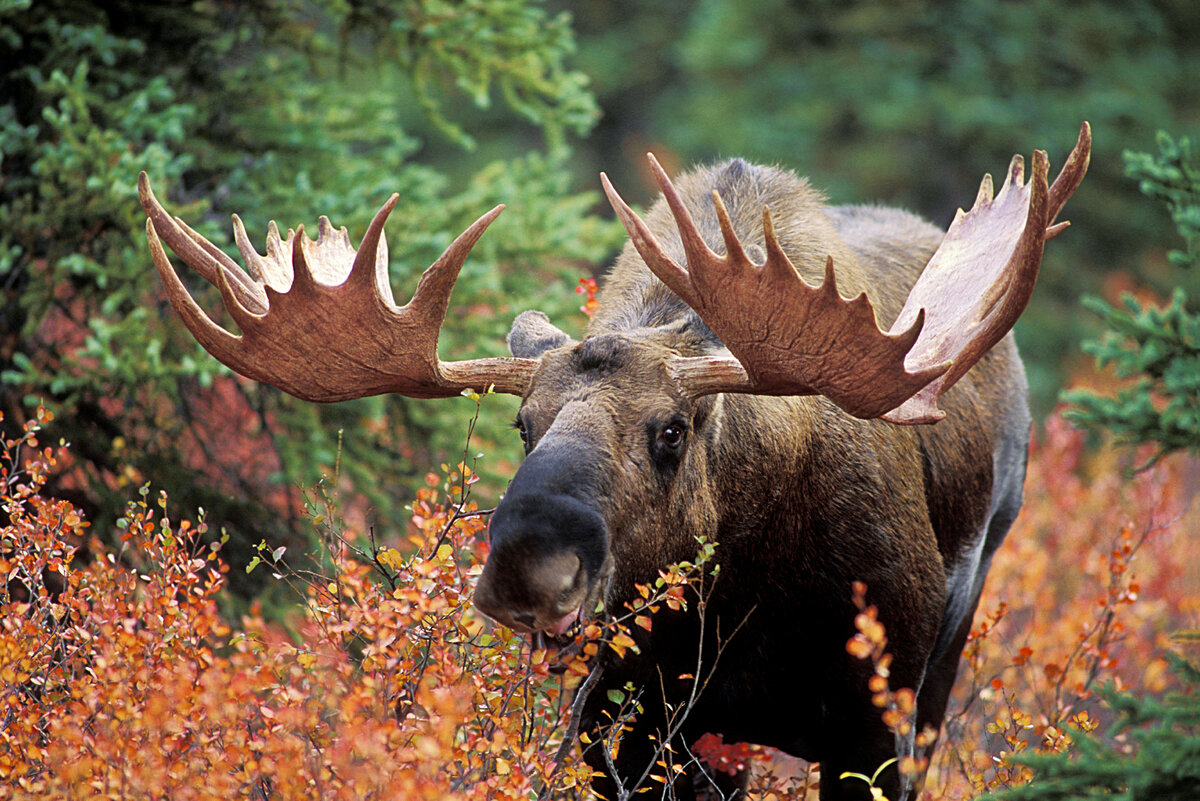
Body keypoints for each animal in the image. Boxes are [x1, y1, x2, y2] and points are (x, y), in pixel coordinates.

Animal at [136, 120, 1094, 801]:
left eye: (671, 429)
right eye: (522, 423)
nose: (529, 565)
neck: (739, 598)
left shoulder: (874, 720)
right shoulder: (621, 723)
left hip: (947, 649)